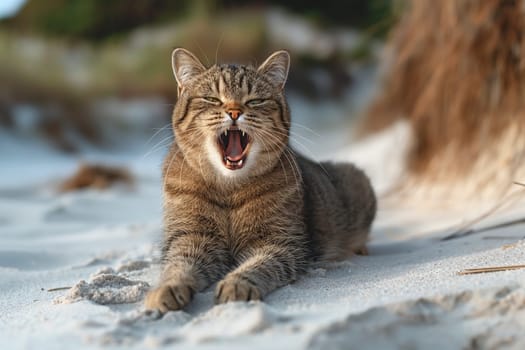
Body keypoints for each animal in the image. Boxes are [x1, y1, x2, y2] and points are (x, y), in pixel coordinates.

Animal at [143, 48, 374, 312]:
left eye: (255, 100)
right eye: (212, 99)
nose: (234, 112)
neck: (229, 188)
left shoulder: (280, 242)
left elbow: (260, 265)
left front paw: (237, 284)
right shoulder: (190, 237)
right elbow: (178, 265)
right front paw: (167, 288)